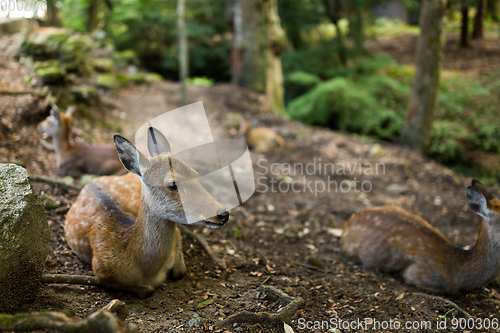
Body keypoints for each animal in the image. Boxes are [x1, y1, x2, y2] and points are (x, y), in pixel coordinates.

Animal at [64, 126, 230, 296]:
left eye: (196, 174)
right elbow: (147, 290)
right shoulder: (102, 271)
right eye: (172, 184)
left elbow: (180, 271)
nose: (223, 214)